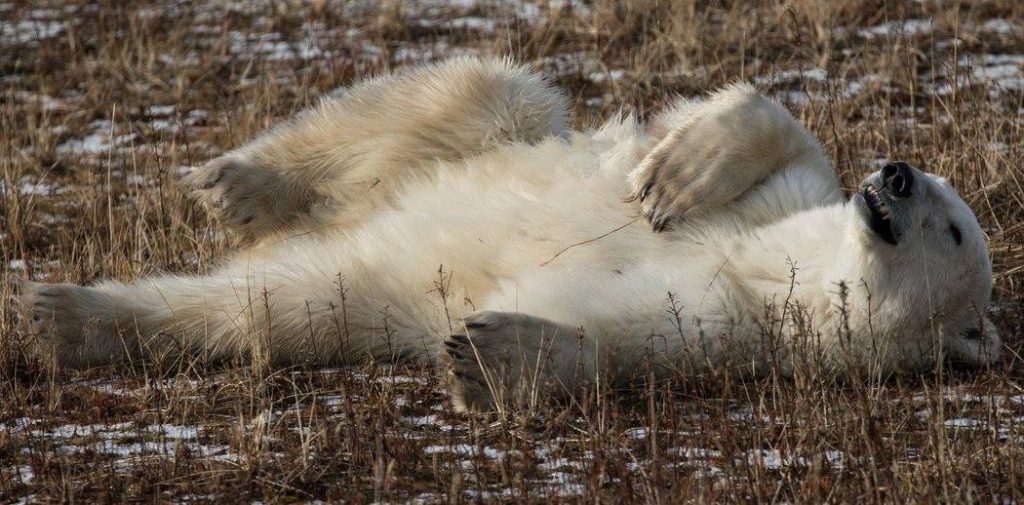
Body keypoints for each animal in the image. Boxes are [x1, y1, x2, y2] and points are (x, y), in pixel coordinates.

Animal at [12, 57, 1000, 412]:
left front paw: (490, 352)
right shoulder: (784, 211)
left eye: (953, 231)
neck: (771, 268)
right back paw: (241, 185)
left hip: (360, 286)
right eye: (942, 201)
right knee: (469, 95)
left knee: (265, 305)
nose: (895, 174)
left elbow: (620, 340)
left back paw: (58, 317)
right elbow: (784, 132)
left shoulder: (734, 321)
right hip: (498, 134)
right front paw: (673, 178)